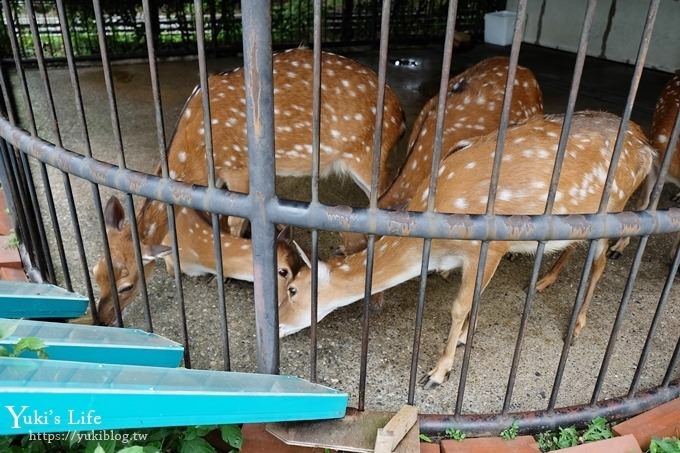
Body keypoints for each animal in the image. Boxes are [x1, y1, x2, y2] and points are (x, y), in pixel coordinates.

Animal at [91, 47, 404, 324]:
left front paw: (225, 273)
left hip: (368, 156)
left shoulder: (238, 169)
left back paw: (376, 297)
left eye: (128, 285)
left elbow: (234, 222)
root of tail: (399, 112)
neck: (196, 152)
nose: (102, 318)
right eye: (96, 272)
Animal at [278, 111, 656, 386]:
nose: (277, 323)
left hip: (616, 203)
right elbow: (473, 299)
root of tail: (647, 145)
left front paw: (438, 371)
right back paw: (544, 281)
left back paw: (576, 325)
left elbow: (460, 305)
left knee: (600, 264)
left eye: (293, 288)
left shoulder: (487, 247)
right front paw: (461, 340)